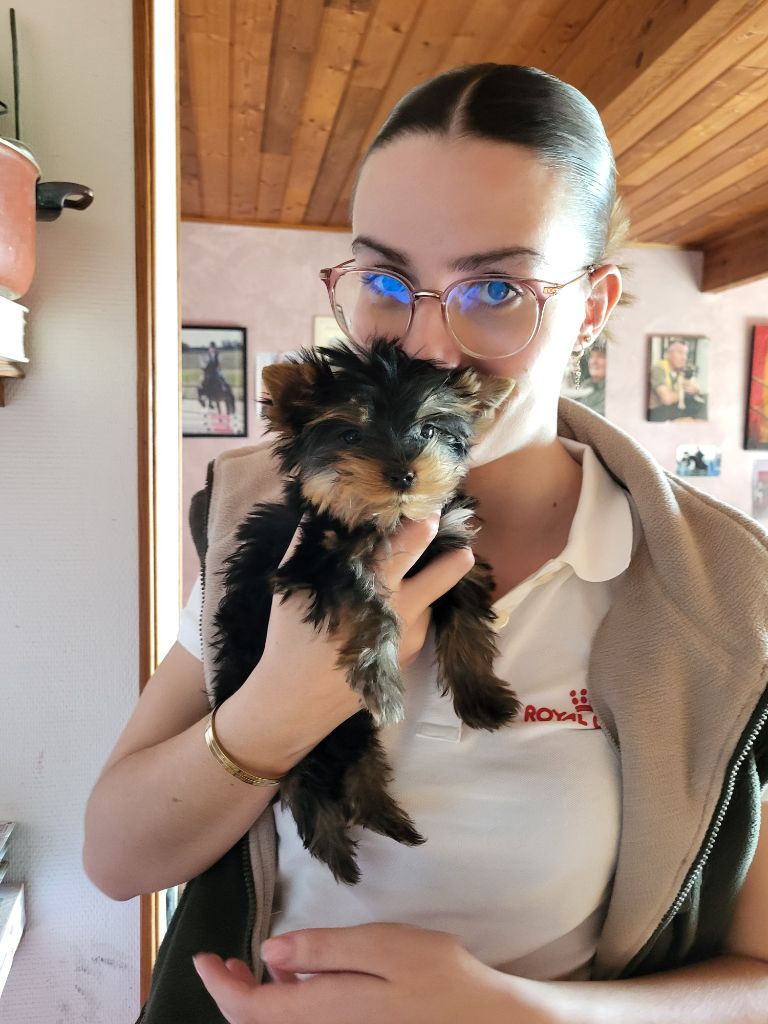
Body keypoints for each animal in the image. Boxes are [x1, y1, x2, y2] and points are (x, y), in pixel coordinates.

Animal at [210, 338, 521, 884]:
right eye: (351, 433)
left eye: (429, 430)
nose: (403, 474)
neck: (385, 520)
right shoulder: (320, 557)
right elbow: (370, 607)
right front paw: (381, 679)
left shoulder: (451, 547)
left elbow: (465, 619)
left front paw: (480, 695)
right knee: (301, 776)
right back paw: (337, 843)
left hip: (346, 728)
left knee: (354, 756)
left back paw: (382, 813)